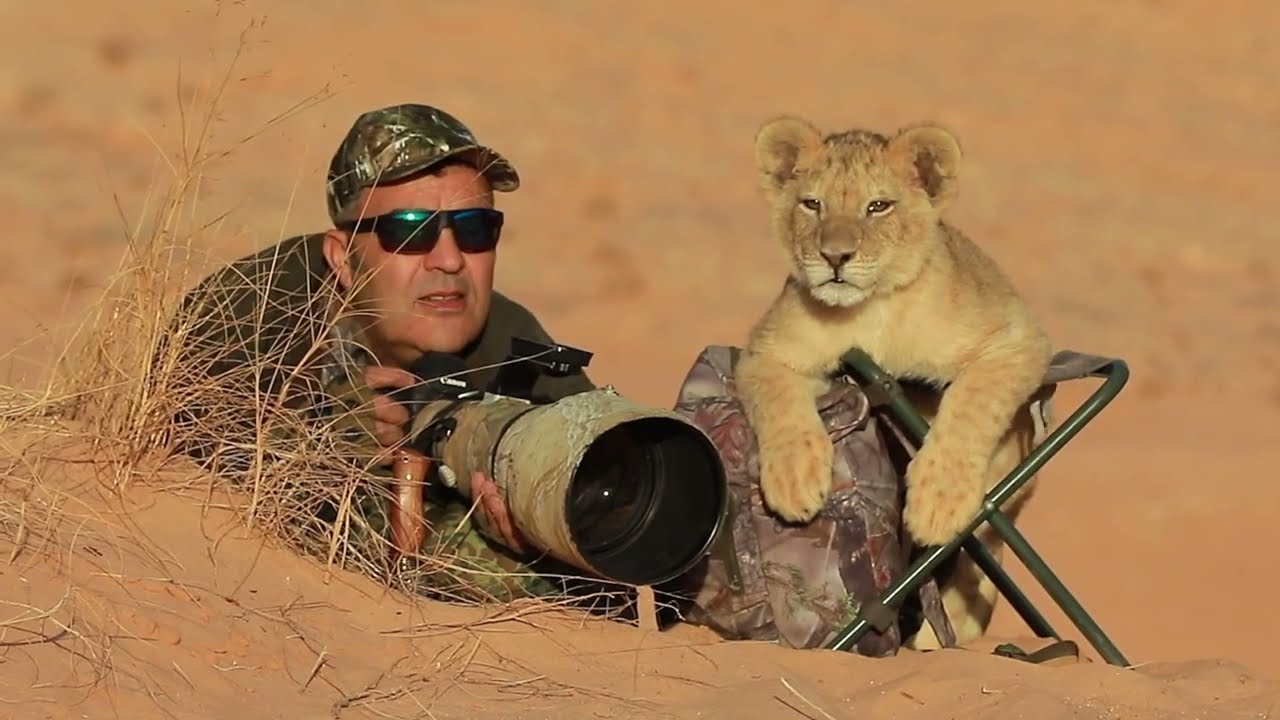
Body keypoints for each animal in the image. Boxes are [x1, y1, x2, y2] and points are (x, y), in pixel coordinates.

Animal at [733, 114, 1055, 647]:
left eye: (877, 206)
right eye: (812, 204)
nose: (835, 257)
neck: (872, 312)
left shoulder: (1018, 339)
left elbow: (971, 403)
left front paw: (938, 500)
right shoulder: (764, 352)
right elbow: (779, 403)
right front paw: (794, 480)